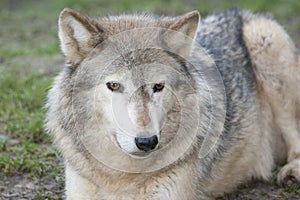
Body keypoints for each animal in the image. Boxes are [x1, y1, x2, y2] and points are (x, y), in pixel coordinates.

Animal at [45, 7, 300, 199]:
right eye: (114, 85)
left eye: (158, 87)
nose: (147, 142)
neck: (123, 177)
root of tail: (240, 12)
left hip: (265, 47)